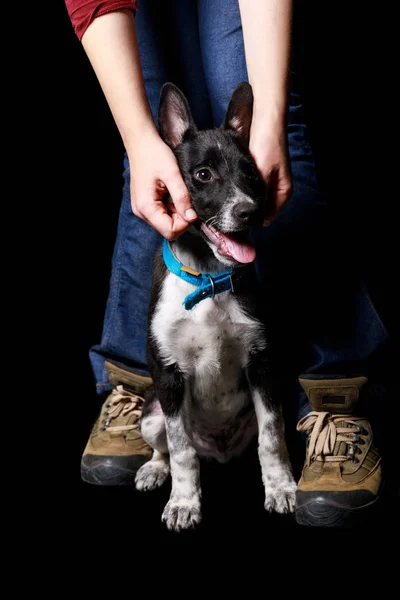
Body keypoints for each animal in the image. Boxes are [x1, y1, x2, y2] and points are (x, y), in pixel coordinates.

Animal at [135, 79, 296, 528]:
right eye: (202, 175)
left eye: (251, 173)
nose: (249, 212)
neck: (209, 277)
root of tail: (219, 452)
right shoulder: (168, 374)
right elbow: (182, 450)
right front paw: (184, 502)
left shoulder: (262, 365)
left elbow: (272, 438)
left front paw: (281, 487)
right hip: (151, 412)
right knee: (166, 447)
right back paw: (155, 469)